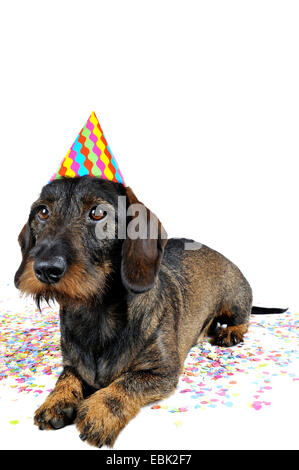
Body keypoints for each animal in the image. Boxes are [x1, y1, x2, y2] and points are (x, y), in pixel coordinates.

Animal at [14, 174, 286, 446]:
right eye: (42, 211)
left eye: (98, 212)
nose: (46, 269)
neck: (96, 315)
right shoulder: (72, 363)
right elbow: (66, 377)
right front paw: (56, 401)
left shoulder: (163, 372)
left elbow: (126, 382)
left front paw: (100, 411)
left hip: (234, 299)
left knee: (244, 318)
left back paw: (230, 331)